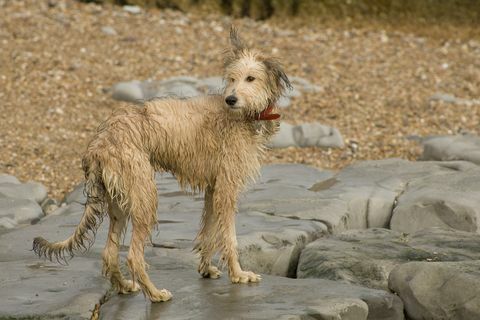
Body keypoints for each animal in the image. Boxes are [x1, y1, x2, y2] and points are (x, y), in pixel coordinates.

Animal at [32, 26, 292, 302]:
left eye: (251, 78)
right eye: (232, 78)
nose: (230, 99)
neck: (243, 116)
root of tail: (99, 141)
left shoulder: (214, 189)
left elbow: (209, 233)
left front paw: (206, 268)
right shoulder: (226, 189)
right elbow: (229, 238)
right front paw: (239, 274)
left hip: (119, 201)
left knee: (110, 253)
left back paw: (124, 285)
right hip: (145, 195)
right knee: (133, 256)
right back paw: (156, 294)